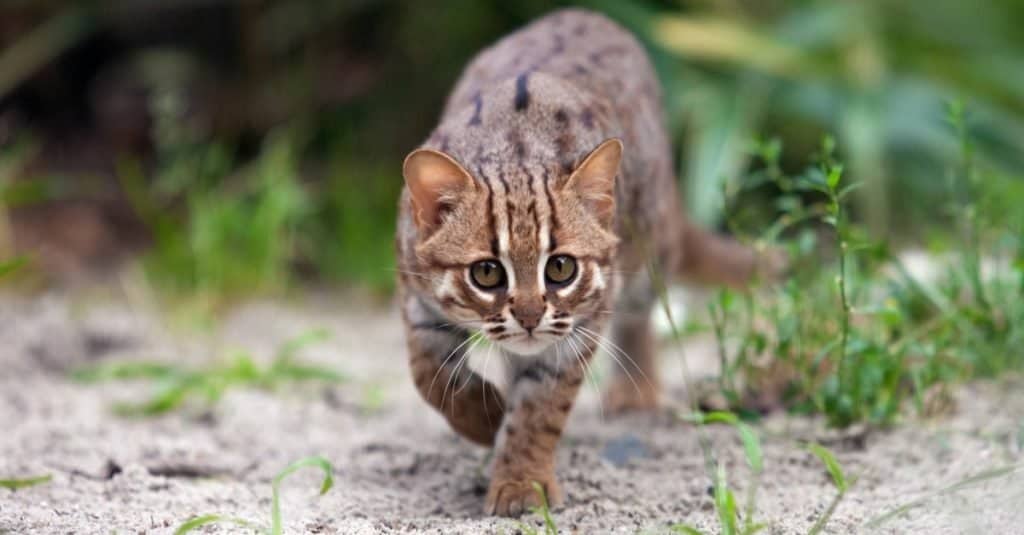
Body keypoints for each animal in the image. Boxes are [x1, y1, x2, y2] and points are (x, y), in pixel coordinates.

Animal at [395, 8, 765, 514]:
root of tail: (585, 13)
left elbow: (541, 410)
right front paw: (485, 418)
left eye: (561, 268)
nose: (530, 317)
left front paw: (521, 481)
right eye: (487, 273)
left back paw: (635, 391)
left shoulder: (579, 325)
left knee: (640, 313)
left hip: (647, 249)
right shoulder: (416, 296)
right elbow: (428, 374)